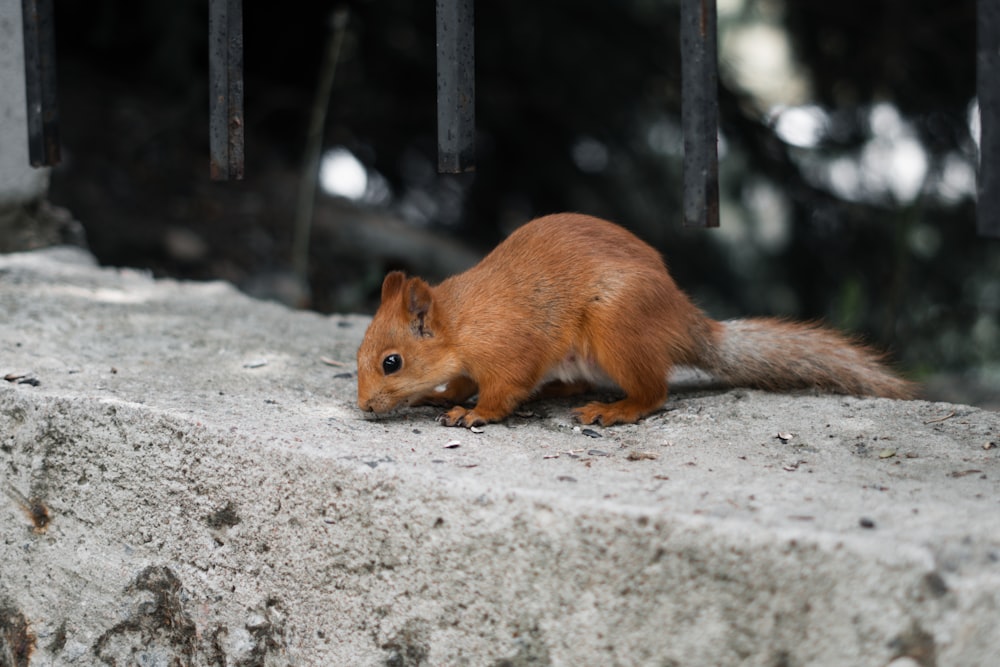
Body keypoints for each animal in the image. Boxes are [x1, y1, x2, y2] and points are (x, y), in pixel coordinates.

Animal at [358, 213, 916, 428]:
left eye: (391, 362)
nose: (364, 407)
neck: (462, 323)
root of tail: (684, 323)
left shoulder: (509, 349)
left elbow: (504, 388)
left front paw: (473, 413)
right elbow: (461, 380)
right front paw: (443, 394)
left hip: (617, 328)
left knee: (654, 393)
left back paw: (616, 410)